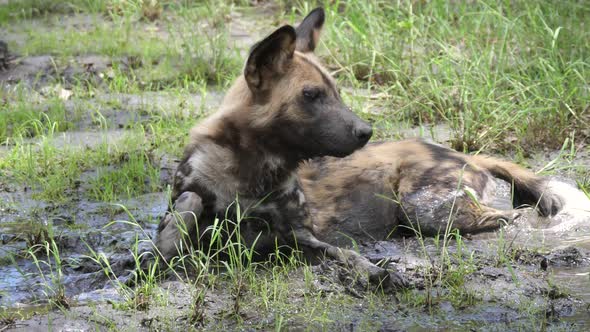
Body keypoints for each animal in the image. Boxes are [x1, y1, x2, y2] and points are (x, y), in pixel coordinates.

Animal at [156, 7, 564, 288]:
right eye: (311, 95)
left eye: (337, 92)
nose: (366, 131)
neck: (251, 170)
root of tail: (463, 153)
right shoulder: (205, 208)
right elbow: (188, 207)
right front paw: (160, 253)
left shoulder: (301, 236)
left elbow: (347, 254)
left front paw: (378, 274)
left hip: (423, 209)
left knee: (504, 218)